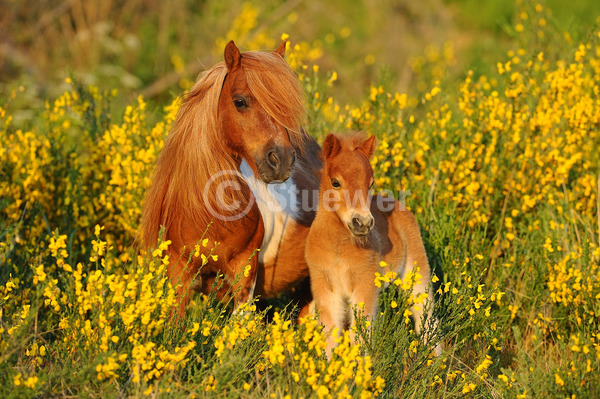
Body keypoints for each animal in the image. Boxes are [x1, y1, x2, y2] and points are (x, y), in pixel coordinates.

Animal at [308, 134, 438, 356]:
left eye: (370, 183)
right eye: (335, 182)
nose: (362, 223)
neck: (338, 249)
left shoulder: (365, 285)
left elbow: (360, 337)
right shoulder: (325, 288)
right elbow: (331, 335)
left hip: (416, 270)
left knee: (426, 315)